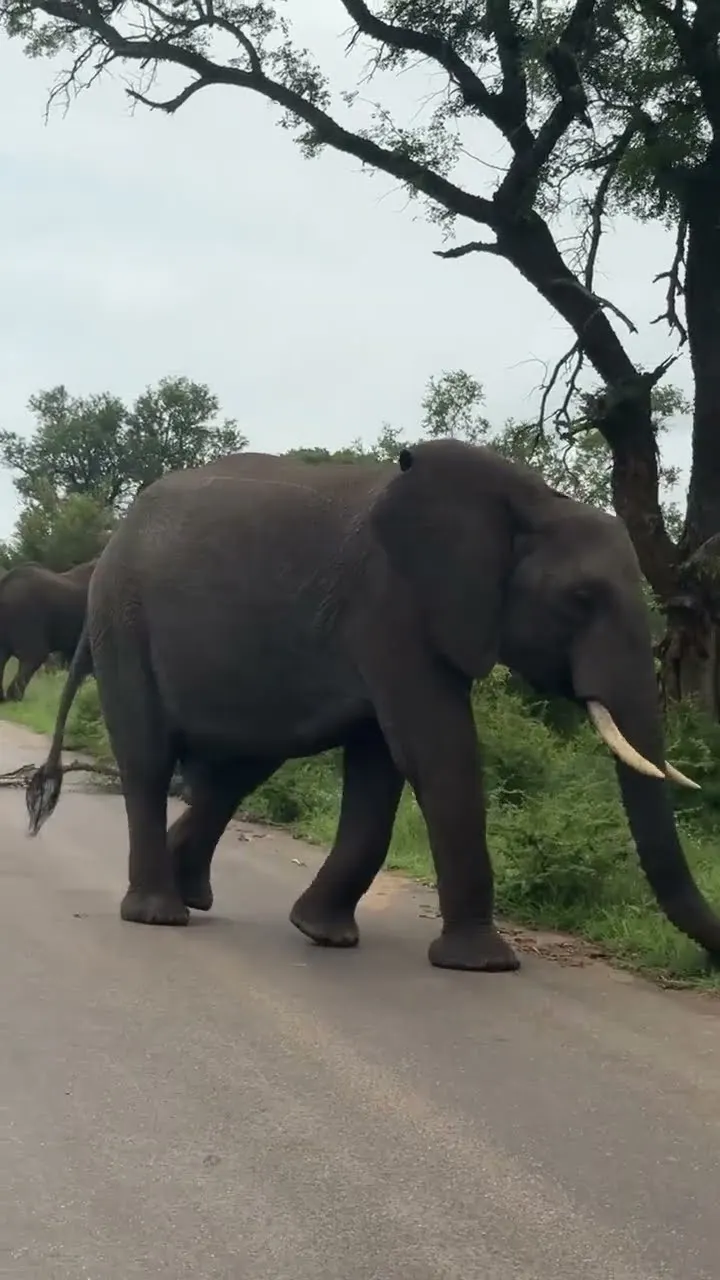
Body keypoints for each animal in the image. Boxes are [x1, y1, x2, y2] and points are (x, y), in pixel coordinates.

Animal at [26, 440, 714, 973]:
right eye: (580, 599)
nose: (708, 961)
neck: (531, 500)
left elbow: (382, 767)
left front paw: (322, 934)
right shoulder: (392, 607)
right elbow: (435, 751)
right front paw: (484, 964)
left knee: (236, 771)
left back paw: (190, 895)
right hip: (123, 622)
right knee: (148, 761)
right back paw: (159, 915)